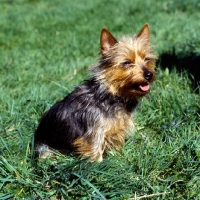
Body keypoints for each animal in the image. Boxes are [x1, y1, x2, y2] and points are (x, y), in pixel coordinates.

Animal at [34, 23, 156, 161]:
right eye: (127, 62)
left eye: (147, 59)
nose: (149, 74)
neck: (112, 95)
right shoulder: (94, 133)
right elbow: (95, 152)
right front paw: (99, 164)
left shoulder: (115, 131)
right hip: (46, 150)